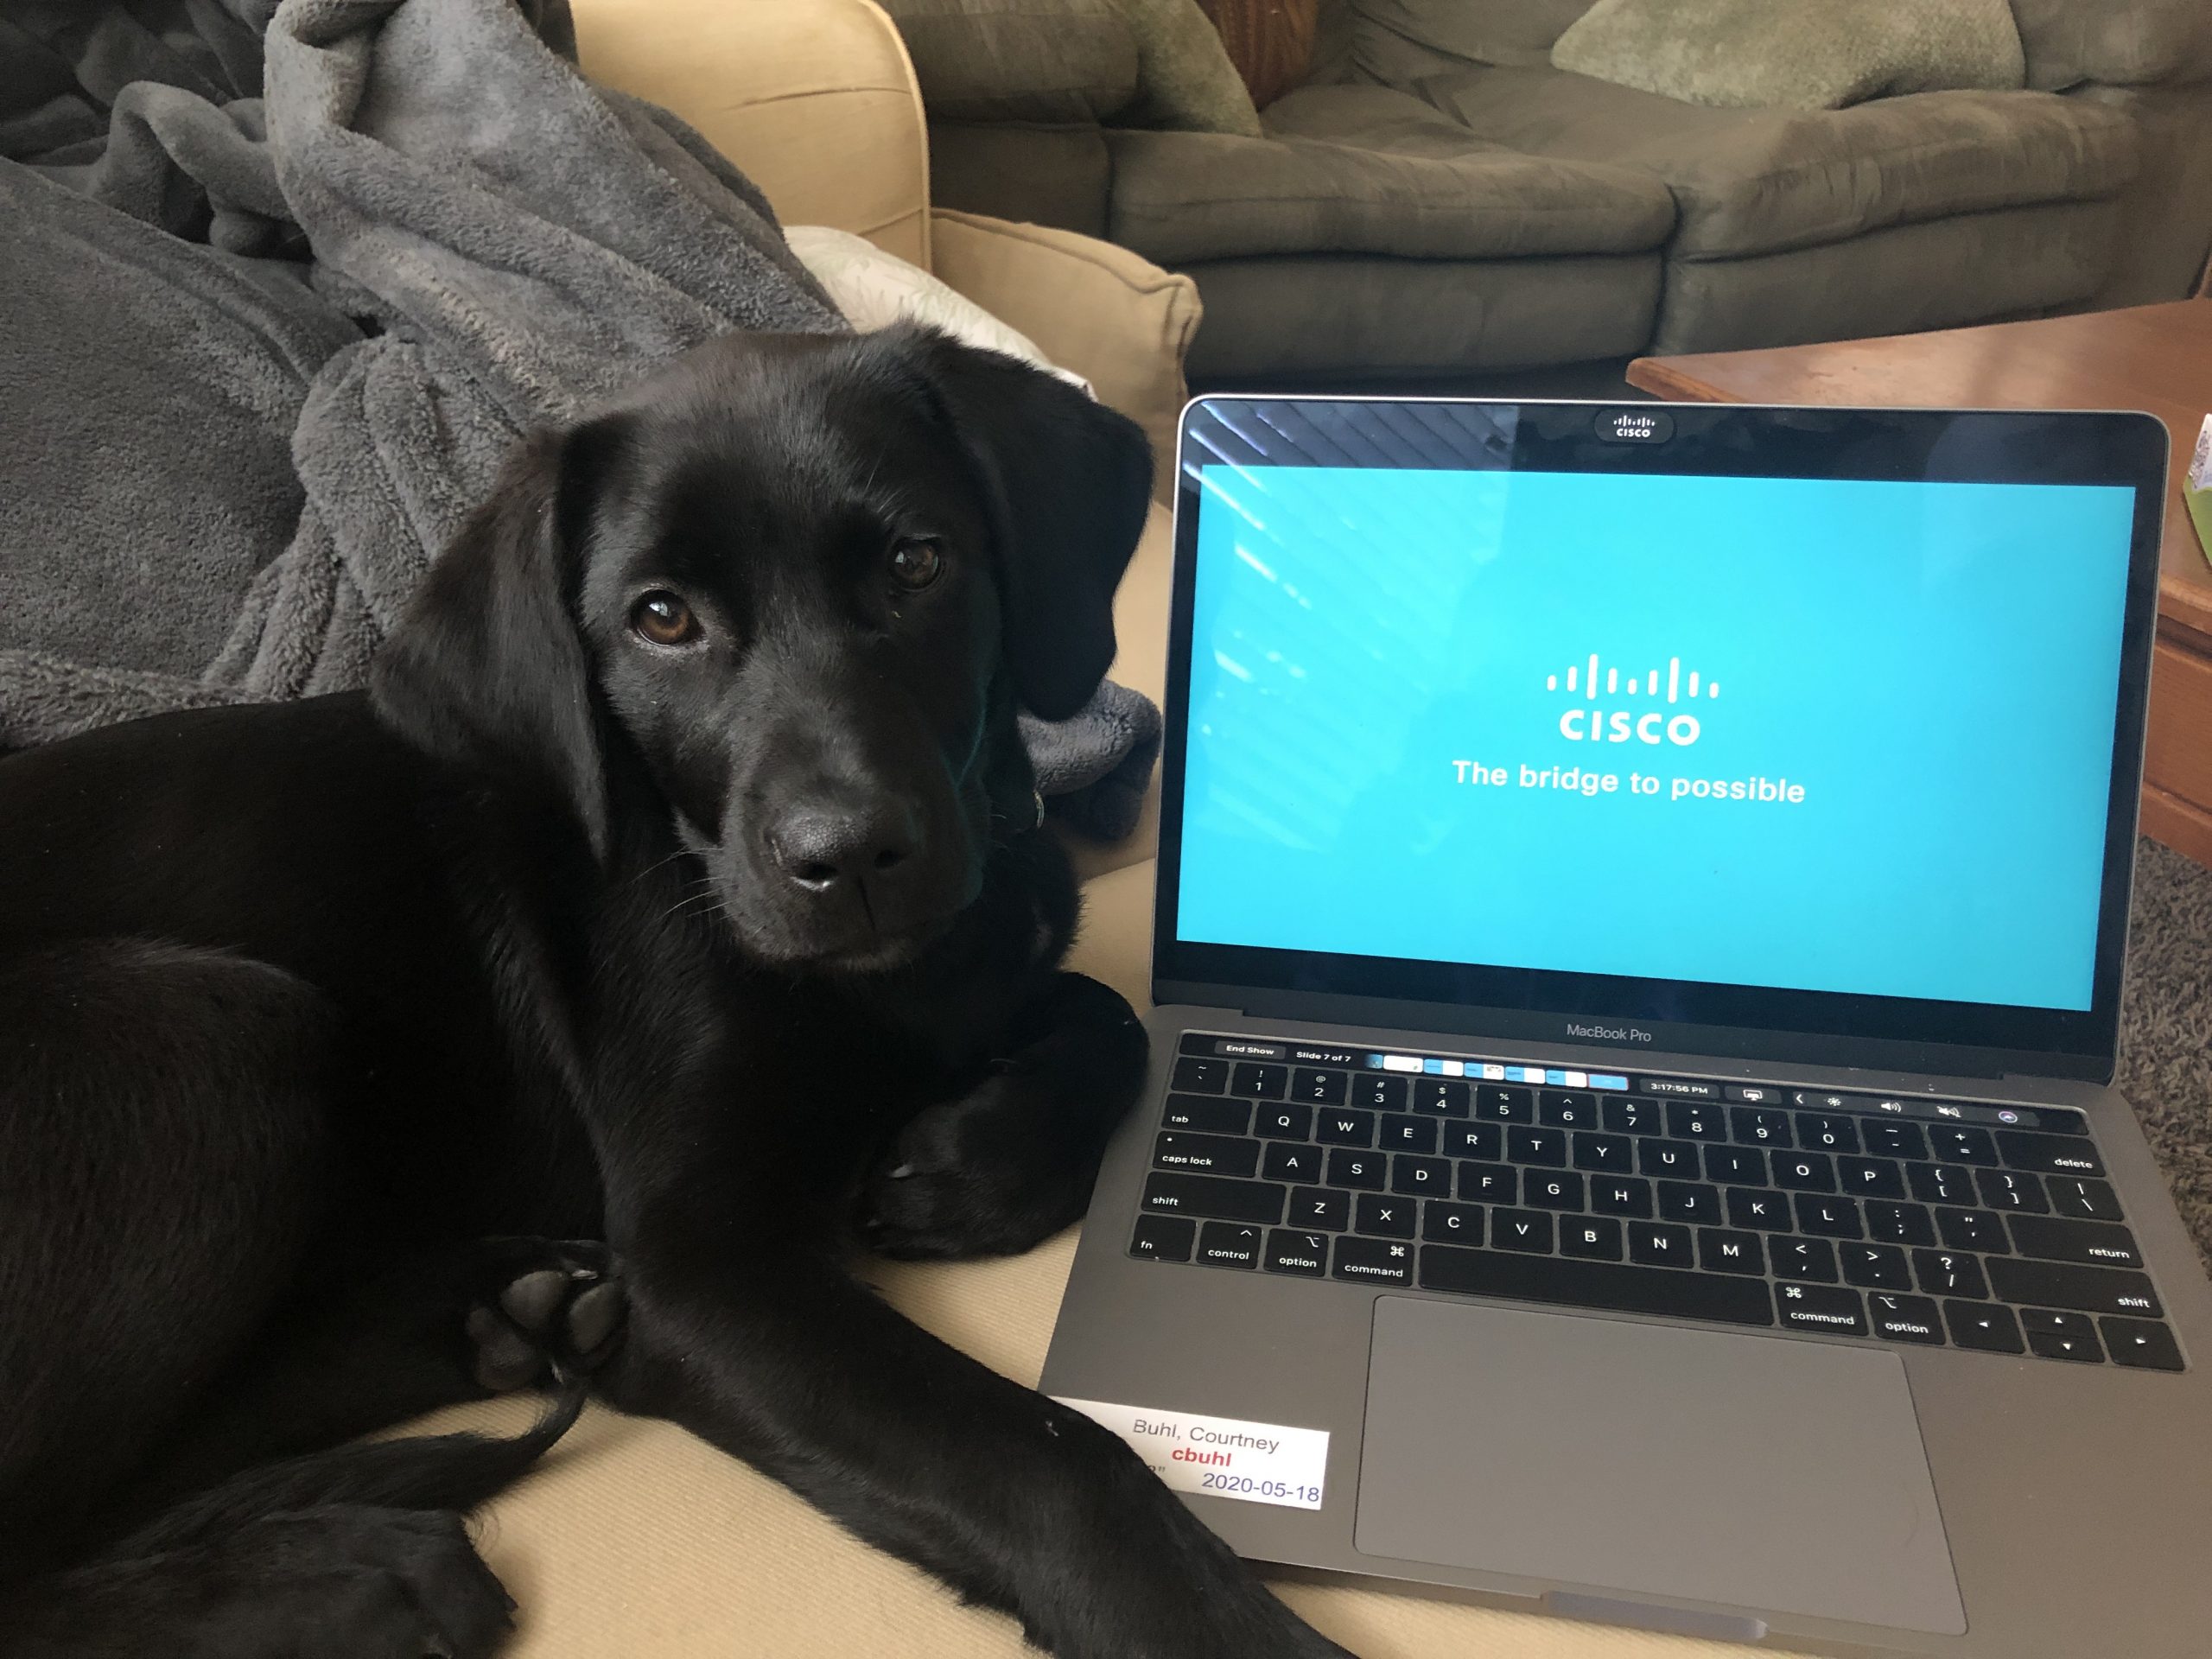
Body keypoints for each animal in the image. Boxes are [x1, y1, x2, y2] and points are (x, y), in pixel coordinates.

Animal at [0, 327, 1344, 1659]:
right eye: (661, 618)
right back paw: (347, 1576)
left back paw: (512, 1314)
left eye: (917, 563)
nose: (850, 857)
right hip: (221, 1028)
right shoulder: (705, 1266)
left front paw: (972, 1165)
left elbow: (1111, 1016)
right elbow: (1053, 1463)